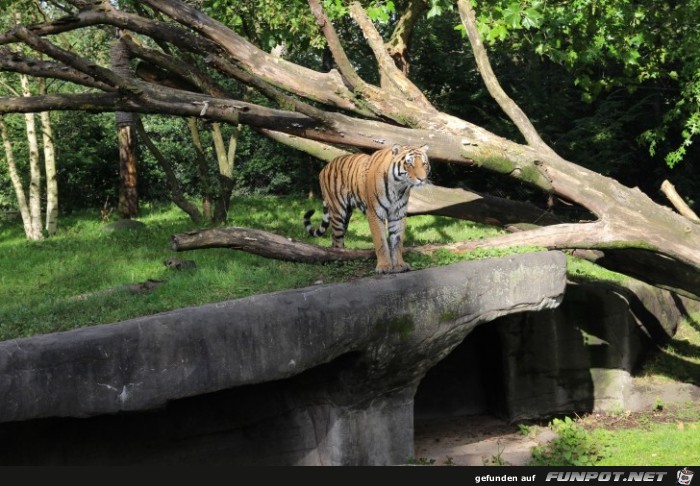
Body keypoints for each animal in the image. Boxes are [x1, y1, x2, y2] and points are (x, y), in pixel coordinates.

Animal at [302, 143, 430, 274]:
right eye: (409, 163)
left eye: (424, 163)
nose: (422, 179)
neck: (398, 187)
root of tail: (326, 167)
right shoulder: (375, 213)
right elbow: (380, 241)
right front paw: (384, 266)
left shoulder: (398, 214)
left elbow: (397, 241)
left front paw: (399, 265)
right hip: (338, 212)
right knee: (336, 238)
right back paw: (339, 261)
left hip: (346, 215)